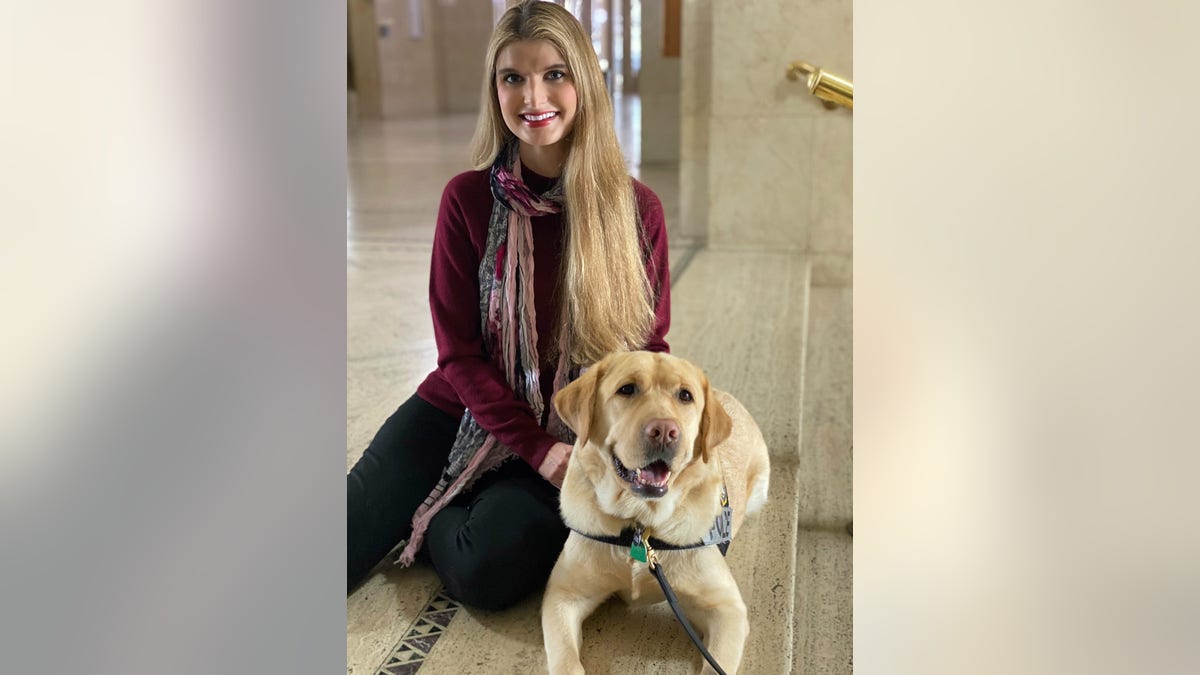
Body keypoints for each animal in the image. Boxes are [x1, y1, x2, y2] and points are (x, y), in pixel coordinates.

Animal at [542, 348, 768, 667]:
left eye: (685, 395)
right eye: (627, 389)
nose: (664, 431)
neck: (640, 522)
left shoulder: (727, 609)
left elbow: (716, 665)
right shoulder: (563, 595)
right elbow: (566, 661)